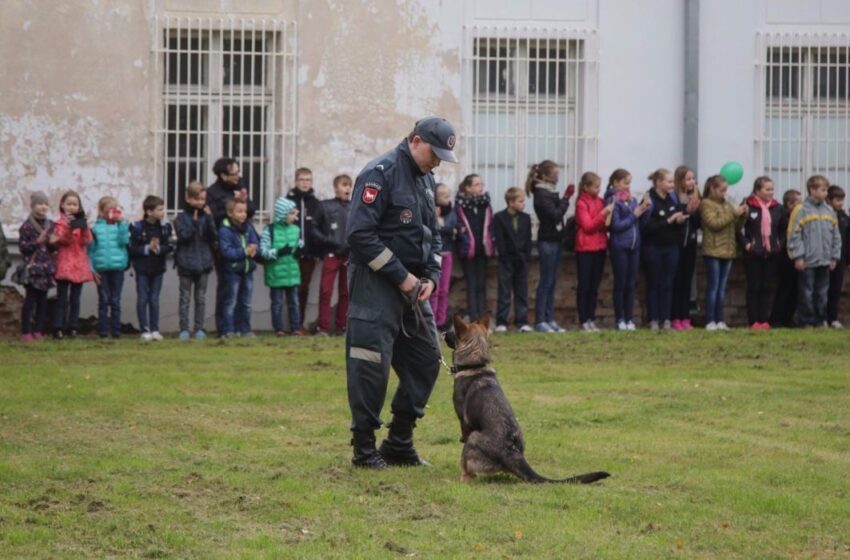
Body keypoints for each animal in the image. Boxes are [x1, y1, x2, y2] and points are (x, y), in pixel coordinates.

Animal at [444, 312, 608, 484]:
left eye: (454, 331)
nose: (442, 333)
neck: (476, 364)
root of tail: (512, 453)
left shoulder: (464, 423)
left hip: (474, 437)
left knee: (467, 471)